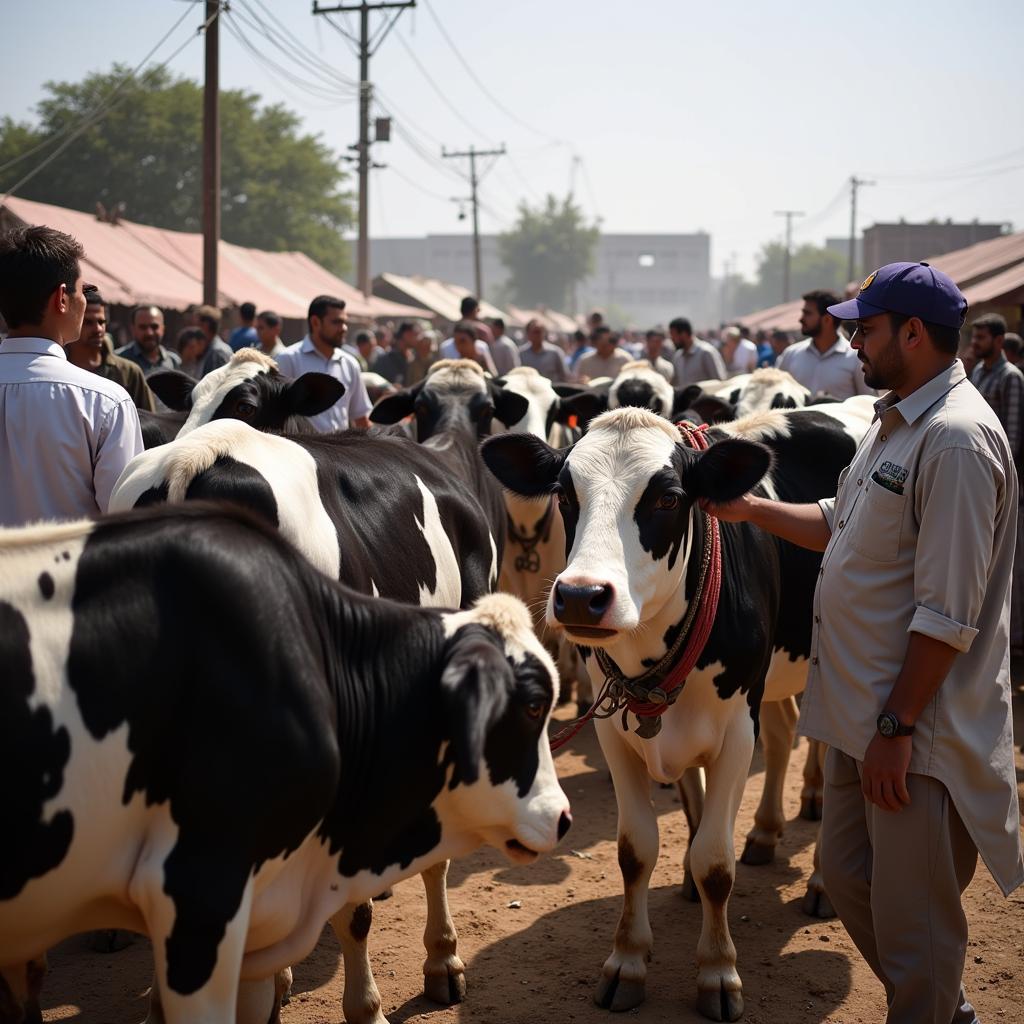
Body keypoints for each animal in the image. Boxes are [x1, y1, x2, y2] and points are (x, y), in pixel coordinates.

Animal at [483, 403, 868, 1019]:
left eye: (667, 498)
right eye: (565, 494)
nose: (581, 595)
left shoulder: (737, 730)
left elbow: (715, 860)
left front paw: (718, 971)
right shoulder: (617, 732)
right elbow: (637, 849)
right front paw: (628, 960)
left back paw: (823, 885)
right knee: (785, 733)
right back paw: (764, 834)